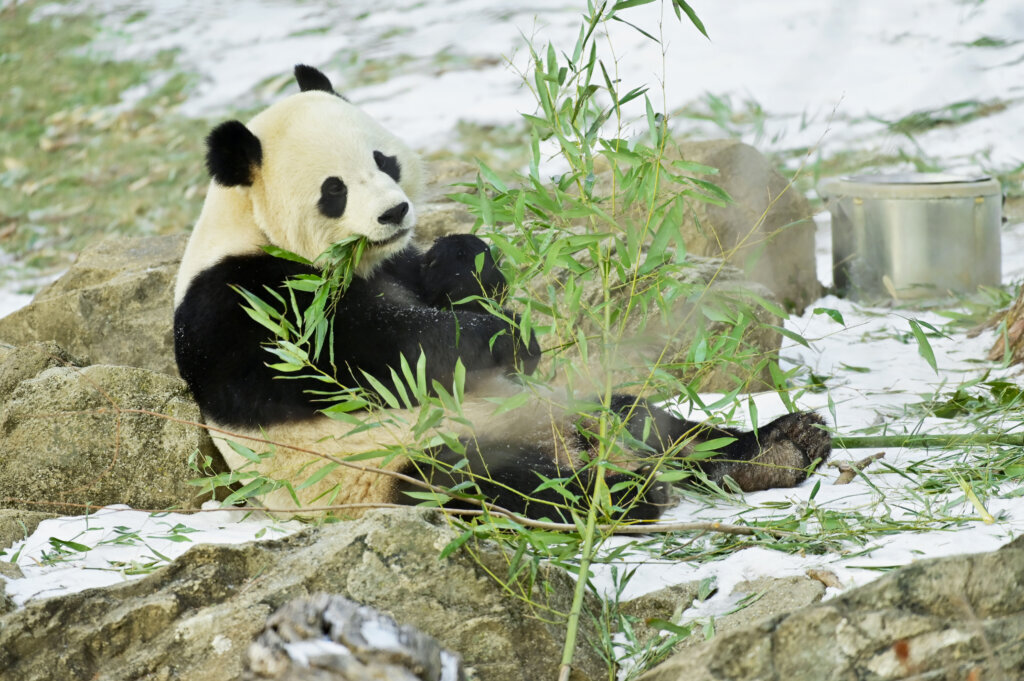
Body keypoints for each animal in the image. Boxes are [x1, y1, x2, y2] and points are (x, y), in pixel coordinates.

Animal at [173, 65, 831, 521]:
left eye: (384, 160)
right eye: (333, 190)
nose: (395, 213)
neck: (250, 225)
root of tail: (569, 445)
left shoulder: (395, 264)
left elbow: (448, 284)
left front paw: (465, 262)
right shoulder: (240, 305)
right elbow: (365, 358)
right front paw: (502, 336)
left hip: (561, 407)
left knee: (645, 420)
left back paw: (781, 447)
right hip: (386, 465)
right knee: (486, 480)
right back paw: (622, 493)